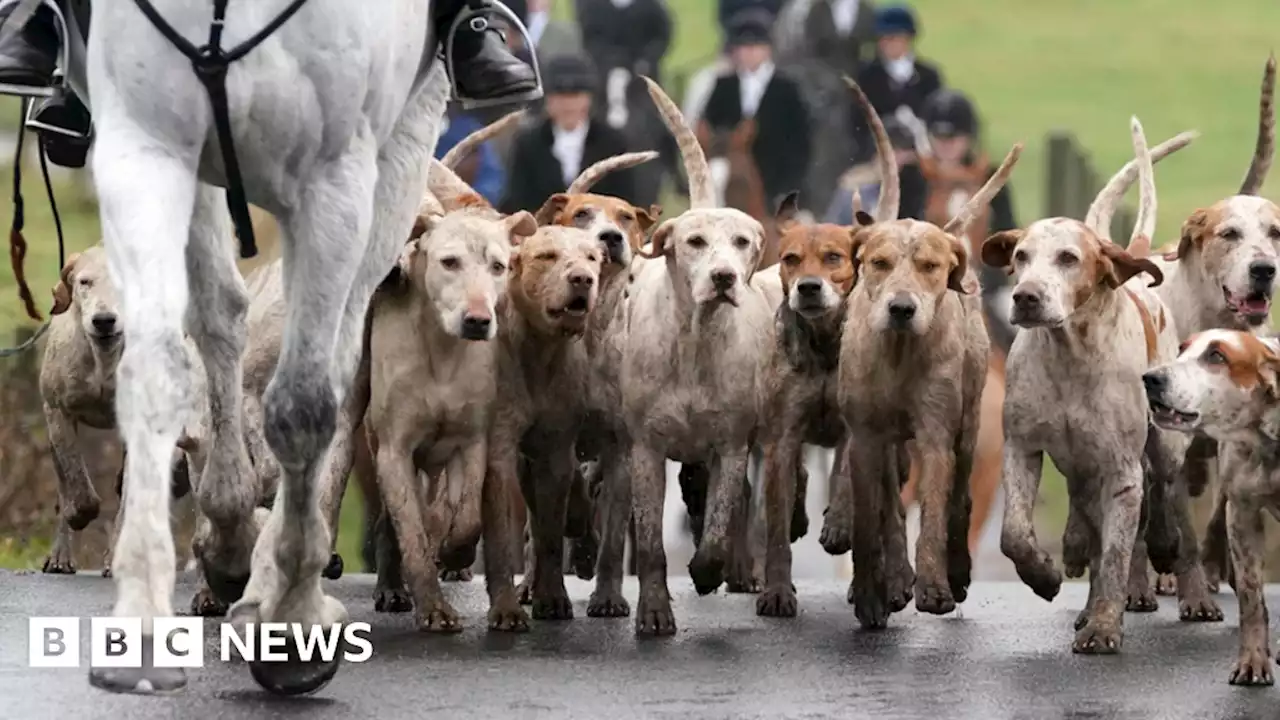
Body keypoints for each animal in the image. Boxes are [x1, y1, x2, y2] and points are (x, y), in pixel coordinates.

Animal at [33, 0, 450, 696]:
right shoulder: (148, 147)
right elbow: (171, 370)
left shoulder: (335, 183)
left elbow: (303, 407)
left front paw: (290, 617)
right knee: (224, 326)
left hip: (394, 170)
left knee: (333, 364)